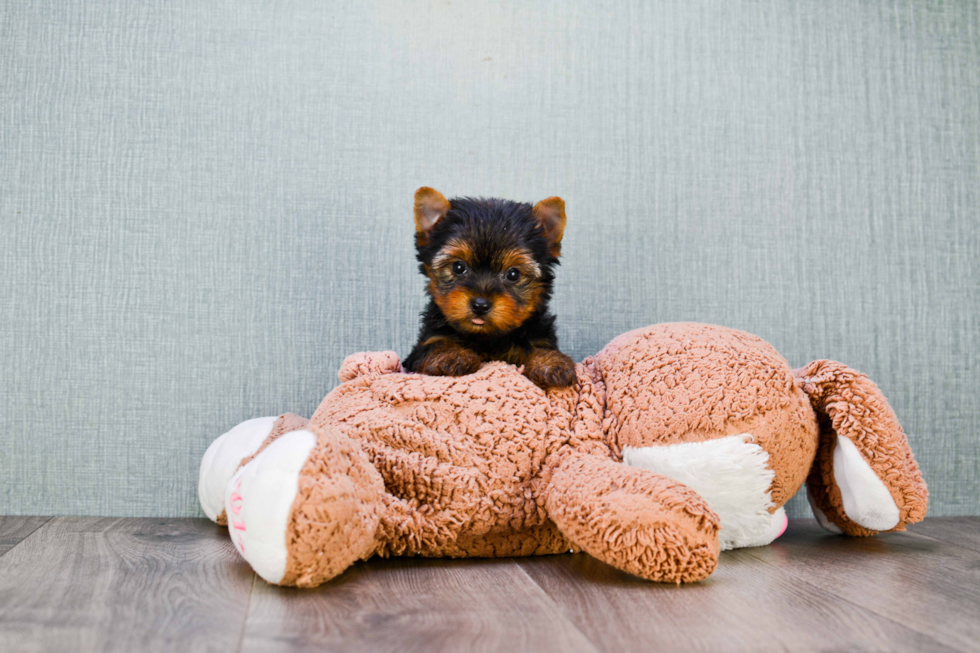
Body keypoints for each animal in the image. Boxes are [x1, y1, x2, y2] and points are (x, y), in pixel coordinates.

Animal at [404, 186, 580, 388]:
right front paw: (450, 355)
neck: (487, 338)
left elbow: (539, 346)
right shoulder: (423, 346)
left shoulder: (538, 336)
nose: (480, 305)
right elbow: (435, 344)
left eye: (513, 274)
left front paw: (551, 362)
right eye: (458, 267)